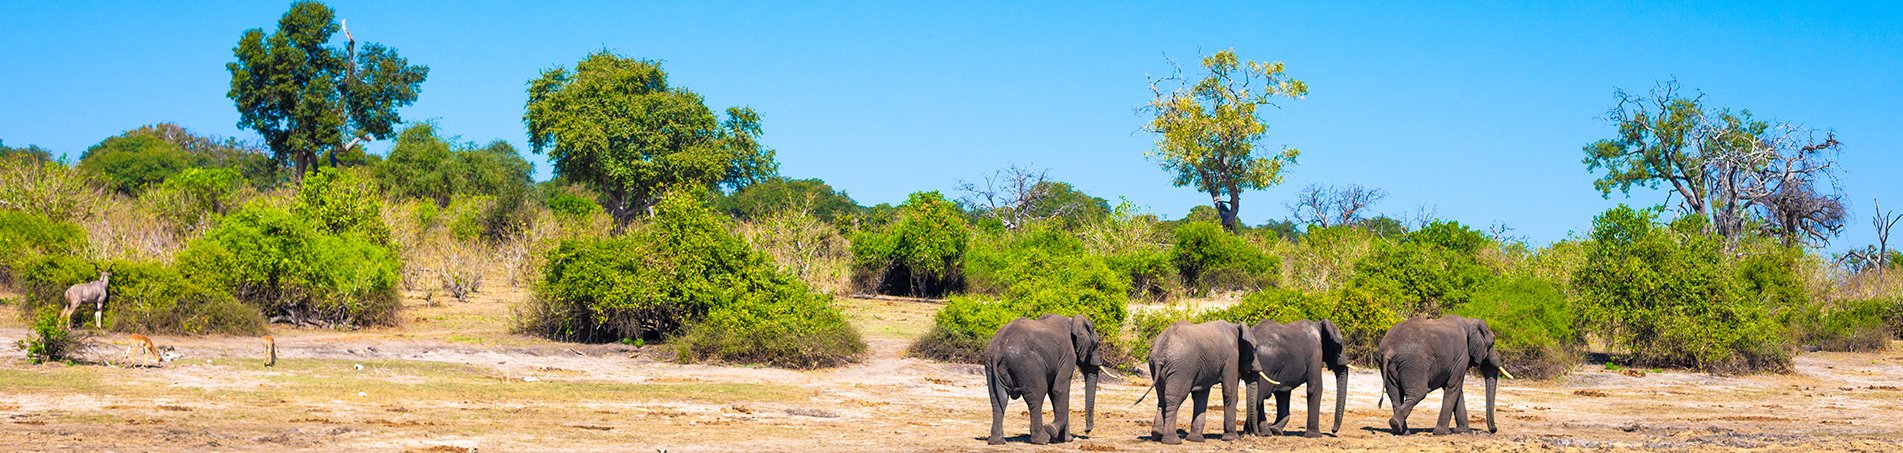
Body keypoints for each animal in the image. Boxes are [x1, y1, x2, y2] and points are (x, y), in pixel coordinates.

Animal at [981, 314, 1103, 443]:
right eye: (1096, 344)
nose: (1087, 431)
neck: (1072, 321)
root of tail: (998, 349)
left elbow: (1053, 392)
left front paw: (1066, 439)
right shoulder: (1068, 356)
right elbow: (1059, 389)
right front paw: (1053, 430)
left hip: (990, 364)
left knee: (999, 399)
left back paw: (997, 442)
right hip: (1028, 364)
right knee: (1037, 395)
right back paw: (1042, 439)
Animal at [1370, 314, 1514, 435]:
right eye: (1492, 343)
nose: (1494, 430)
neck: (1469, 322)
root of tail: (1388, 350)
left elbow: (1456, 390)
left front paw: (1463, 432)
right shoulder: (1462, 356)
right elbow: (1453, 386)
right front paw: (1443, 433)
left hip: (1389, 366)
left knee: (1395, 395)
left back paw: (1401, 431)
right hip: (1414, 363)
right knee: (1418, 393)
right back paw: (1397, 425)